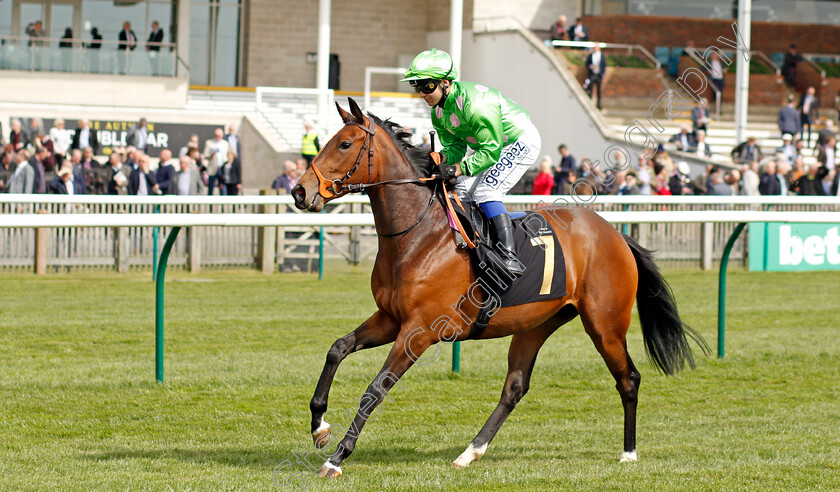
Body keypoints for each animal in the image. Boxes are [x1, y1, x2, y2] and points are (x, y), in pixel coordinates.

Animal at [292, 98, 704, 478]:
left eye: (345, 144)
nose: (299, 191)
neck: (419, 236)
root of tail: (616, 234)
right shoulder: (390, 318)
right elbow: (337, 348)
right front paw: (319, 427)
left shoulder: (419, 331)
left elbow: (375, 389)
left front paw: (336, 457)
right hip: (536, 325)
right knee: (515, 387)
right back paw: (470, 452)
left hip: (605, 324)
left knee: (628, 378)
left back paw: (629, 453)